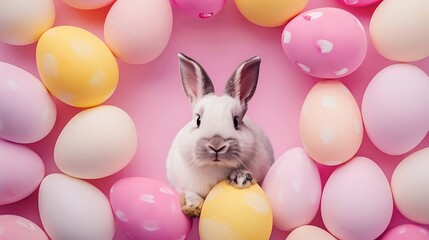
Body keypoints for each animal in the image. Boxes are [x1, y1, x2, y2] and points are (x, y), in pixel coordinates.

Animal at [166, 53, 272, 218]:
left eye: (236, 121)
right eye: (198, 120)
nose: (216, 145)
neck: (215, 167)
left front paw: (241, 178)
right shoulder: (180, 183)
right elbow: (187, 192)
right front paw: (193, 205)